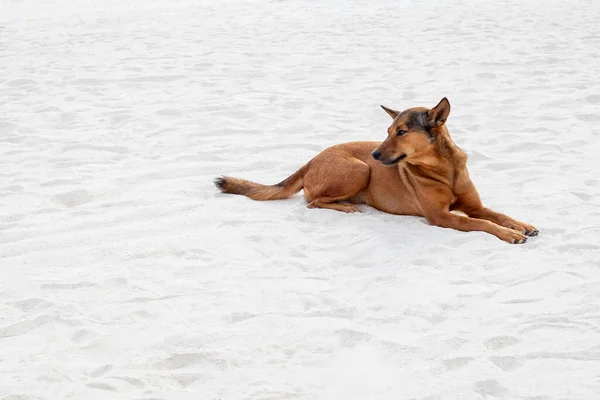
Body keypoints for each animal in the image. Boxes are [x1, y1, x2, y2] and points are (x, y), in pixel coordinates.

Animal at [216, 99, 540, 244]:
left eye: (401, 132)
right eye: (386, 132)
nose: (374, 154)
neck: (444, 168)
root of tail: (311, 159)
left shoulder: (473, 205)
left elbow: (497, 215)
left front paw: (521, 225)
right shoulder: (442, 217)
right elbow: (482, 224)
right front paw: (510, 235)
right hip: (359, 169)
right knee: (313, 201)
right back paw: (347, 207)